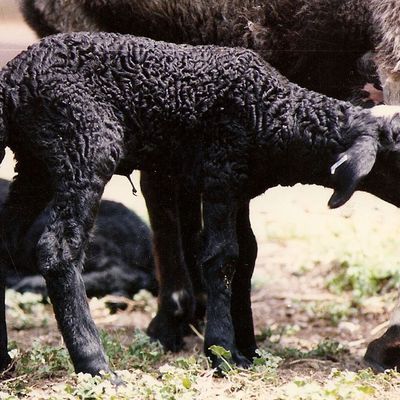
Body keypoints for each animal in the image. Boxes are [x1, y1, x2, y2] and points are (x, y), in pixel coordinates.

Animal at [0, 32, 400, 376]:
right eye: (394, 155)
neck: (275, 114)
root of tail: (12, 79)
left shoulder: (238, 185)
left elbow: (247, 256)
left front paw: (247, 348)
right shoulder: (221, 169)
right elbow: (222, 257)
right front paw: (222, 352)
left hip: (34, 165)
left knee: (6, 245)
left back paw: (5, 360)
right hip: (85, 140)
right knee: (57, 249)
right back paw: (96, 366)